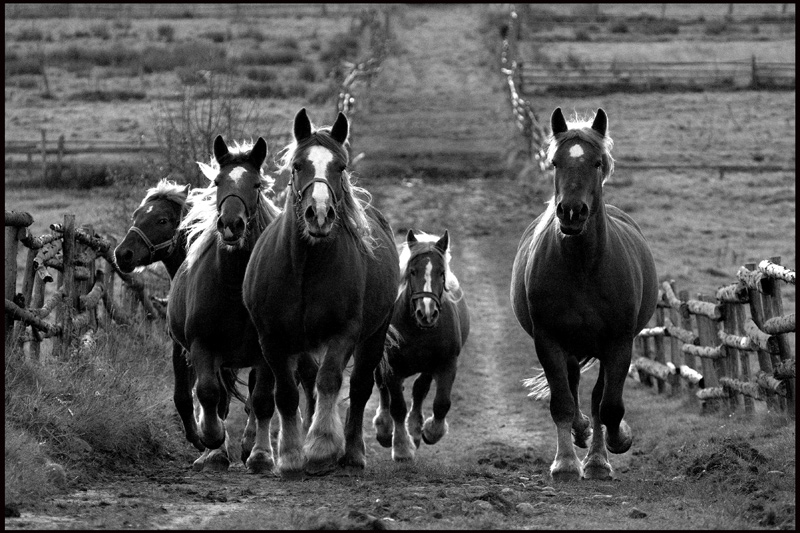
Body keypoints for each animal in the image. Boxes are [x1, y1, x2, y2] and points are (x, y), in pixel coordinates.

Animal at [167, 135, 318, 472]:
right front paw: (212, 444)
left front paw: (260, 454)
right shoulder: (202, 346)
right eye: (217, 181)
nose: (231, 225)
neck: (233, 289)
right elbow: (209, 394)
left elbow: (261, 401)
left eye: (257, 184)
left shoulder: (266, 352)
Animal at [241, 109, 396, 478]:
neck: (305, 268)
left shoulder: (344, 333)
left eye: (340, 166)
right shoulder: (272, 339)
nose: (320, 214)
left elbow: (329, 381)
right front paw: (290, 455)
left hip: (373, 336)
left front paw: (322, 447)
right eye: (298, 165)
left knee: (358, 388)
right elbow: (286, 393)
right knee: (307, 382)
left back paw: (351, 453)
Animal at [374, 229, 468, 462]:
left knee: (419, 390)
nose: (427, 312)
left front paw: (429, 431)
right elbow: (397, 407)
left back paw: (415, 430)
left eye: (441, 273)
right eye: (412, 272)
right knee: (382, 389)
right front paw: (401, 447)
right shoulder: (392, 368)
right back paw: (384, 428)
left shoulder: (445, 365)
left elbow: (441, 403)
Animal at [512, 108, 656, 482]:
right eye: (555, 162)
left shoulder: (619, 343)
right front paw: (565, 461)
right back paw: (580, 437)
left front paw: (616, 444)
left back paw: (597, 458)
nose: (572, 212)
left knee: (596, 397)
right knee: (574, 386)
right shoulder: (548, 340)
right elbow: (563, 402)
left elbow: (609, 406)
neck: (583, 269)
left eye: (597, 162)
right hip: (570, 346)